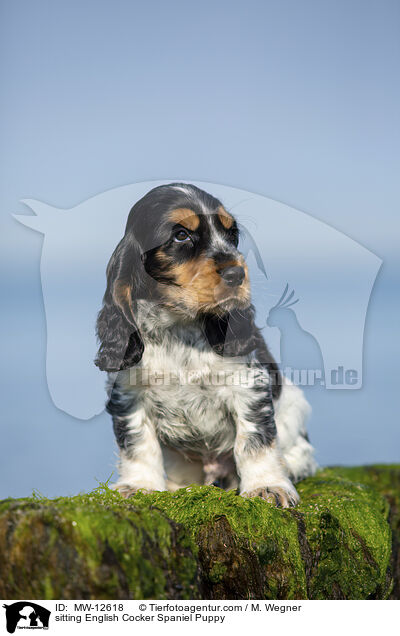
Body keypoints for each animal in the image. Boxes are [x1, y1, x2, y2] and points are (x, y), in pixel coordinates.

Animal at [95, 183, 318, 506]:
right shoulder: (129, 394)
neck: (178, 327)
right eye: (181, 235)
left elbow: (254, 441)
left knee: (301, 453)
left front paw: (267, 486)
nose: (237, 273)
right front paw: (138, 486)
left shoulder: (247, 384)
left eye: (232, 234)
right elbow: (138, 444)